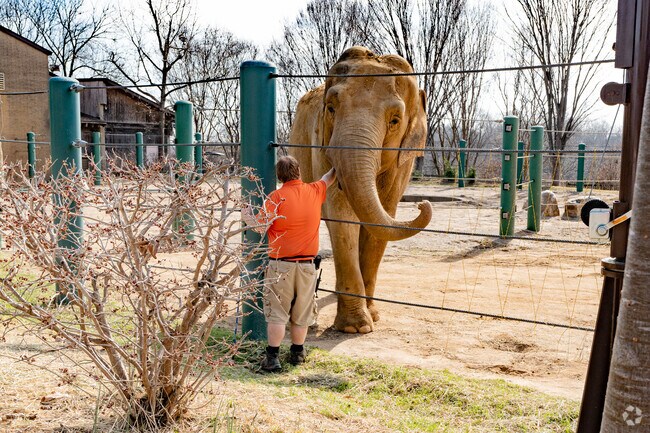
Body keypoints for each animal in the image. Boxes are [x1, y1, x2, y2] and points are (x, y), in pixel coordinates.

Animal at [288, 46, 433, 334]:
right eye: (331, 108)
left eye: (395, 120)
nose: (422, 204)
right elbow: (343, 216)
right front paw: (356, 328)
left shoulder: (402, 162)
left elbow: (384, 217)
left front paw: (372, 316)